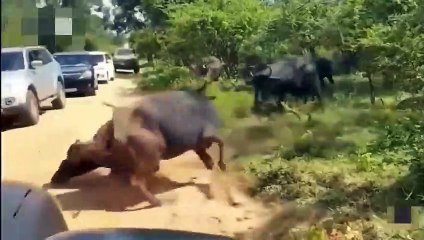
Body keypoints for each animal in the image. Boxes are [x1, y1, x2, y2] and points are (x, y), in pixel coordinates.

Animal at [50, 85, 225, 208]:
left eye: (68, 160)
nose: (55, 178)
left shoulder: (199, 144)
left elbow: (209, 157)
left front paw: (213, 168)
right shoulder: (206, 136)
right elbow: (221, 143)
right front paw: (221, 167)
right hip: (154, 158)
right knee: (137, 180)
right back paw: (156, 201)